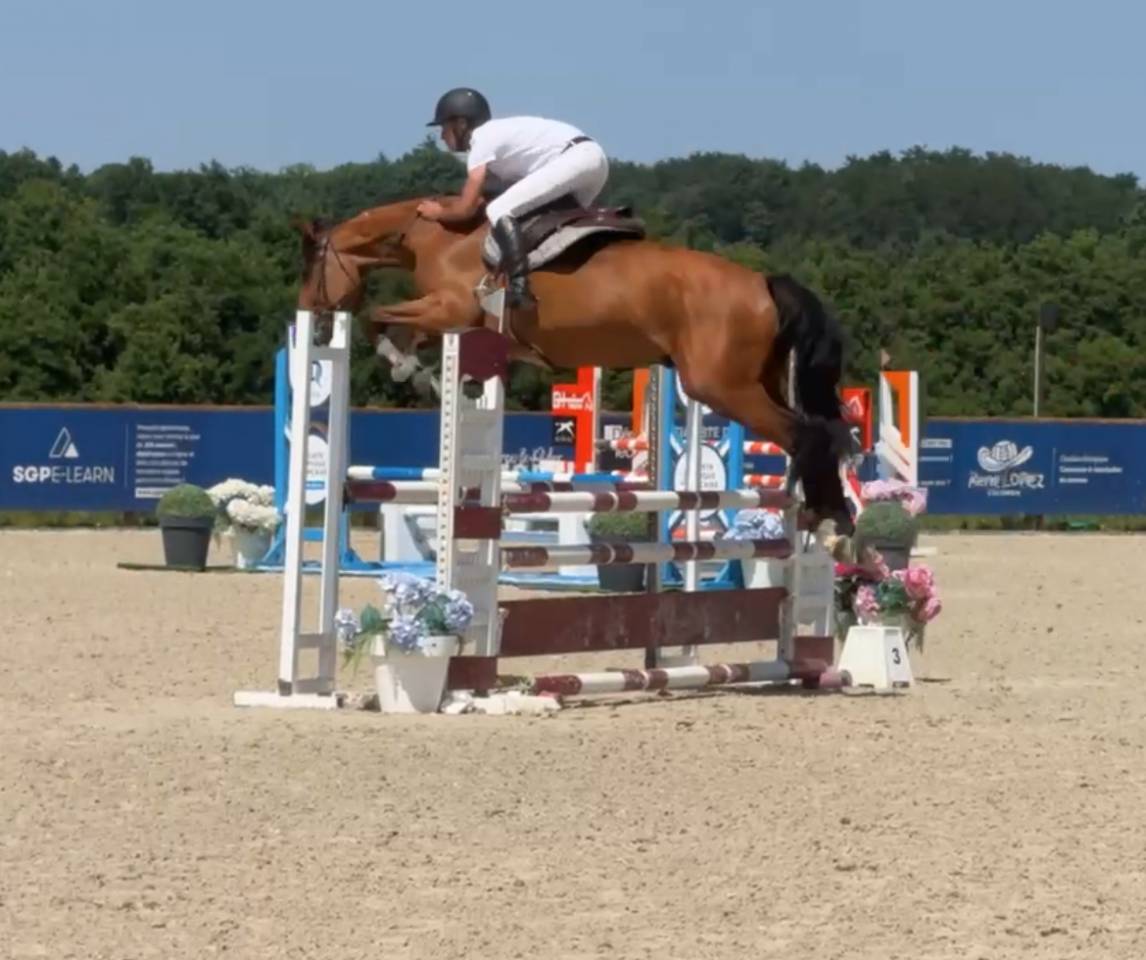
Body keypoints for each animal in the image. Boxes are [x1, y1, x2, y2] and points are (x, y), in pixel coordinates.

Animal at [296, 195, 857, 536]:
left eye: (310, 266)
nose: (312, 319)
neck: (438, 237)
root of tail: (763, 282)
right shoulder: (451, 320)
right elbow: (395, 326)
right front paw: (414, 368)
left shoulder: (450, 309)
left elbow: (376, 318)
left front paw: (406, 369)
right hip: (756, 380)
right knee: (821, 429)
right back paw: (835, 515)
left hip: (718, 385)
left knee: (805, 432)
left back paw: (825, 516)